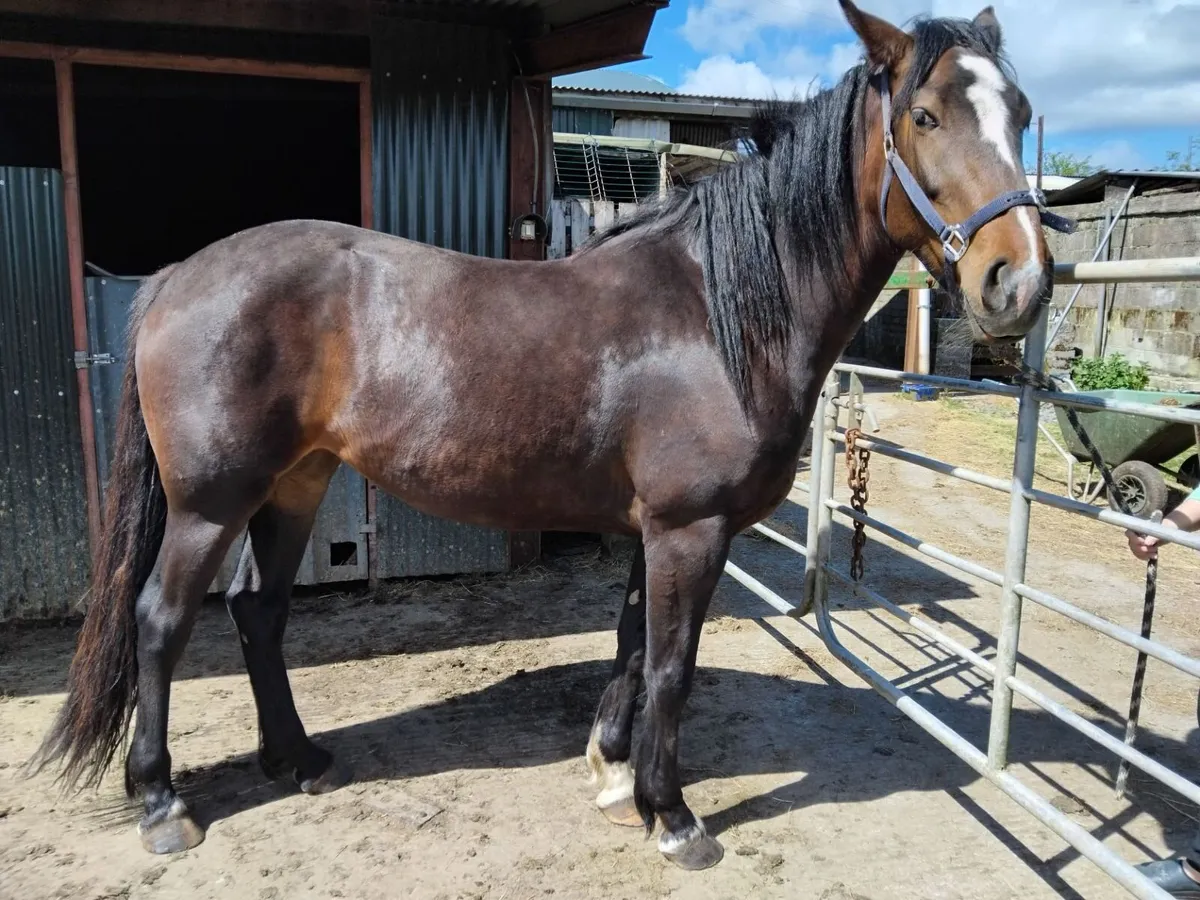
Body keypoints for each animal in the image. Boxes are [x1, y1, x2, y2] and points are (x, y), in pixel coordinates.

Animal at [31, 0, 1071, 871]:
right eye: (926, 117)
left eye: (1021, 112)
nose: (1018, 284)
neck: (717, 313)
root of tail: (177, 276)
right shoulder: (690, 529)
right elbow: (672, 667)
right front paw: (673, 816)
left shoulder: (662, 529)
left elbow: (630, 646)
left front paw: (613, 772)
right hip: (210, 503)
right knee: (161, 622)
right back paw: (163, 803)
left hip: (295, 484)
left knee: (259, 613)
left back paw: (298, 760)